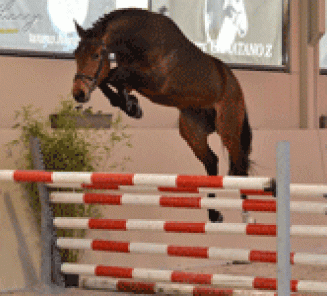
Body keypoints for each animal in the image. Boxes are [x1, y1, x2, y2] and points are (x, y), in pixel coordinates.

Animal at [72, 8, 254, 222]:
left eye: (96, 55)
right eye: (75, 55)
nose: (78, 94)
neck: (140, 39)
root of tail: (235, 84)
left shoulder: (154, 80)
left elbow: (113, 77)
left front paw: (131, 105)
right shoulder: (134, 79)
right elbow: (108, 81)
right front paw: (131, 106)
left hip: (228, 128)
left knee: (239, 165)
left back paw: (247, 214)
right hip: (192, 130)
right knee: (211, 161)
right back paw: (214, 213)